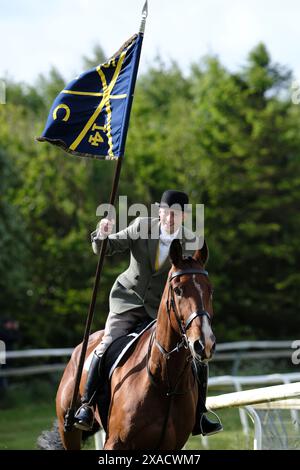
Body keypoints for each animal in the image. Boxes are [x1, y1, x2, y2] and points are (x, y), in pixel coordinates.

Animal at [38, 241, 216, 450]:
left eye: (210, 290)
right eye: (178, 290)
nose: (204, 344)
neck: (165, 381)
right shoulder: (115, 443)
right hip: (69, 431)